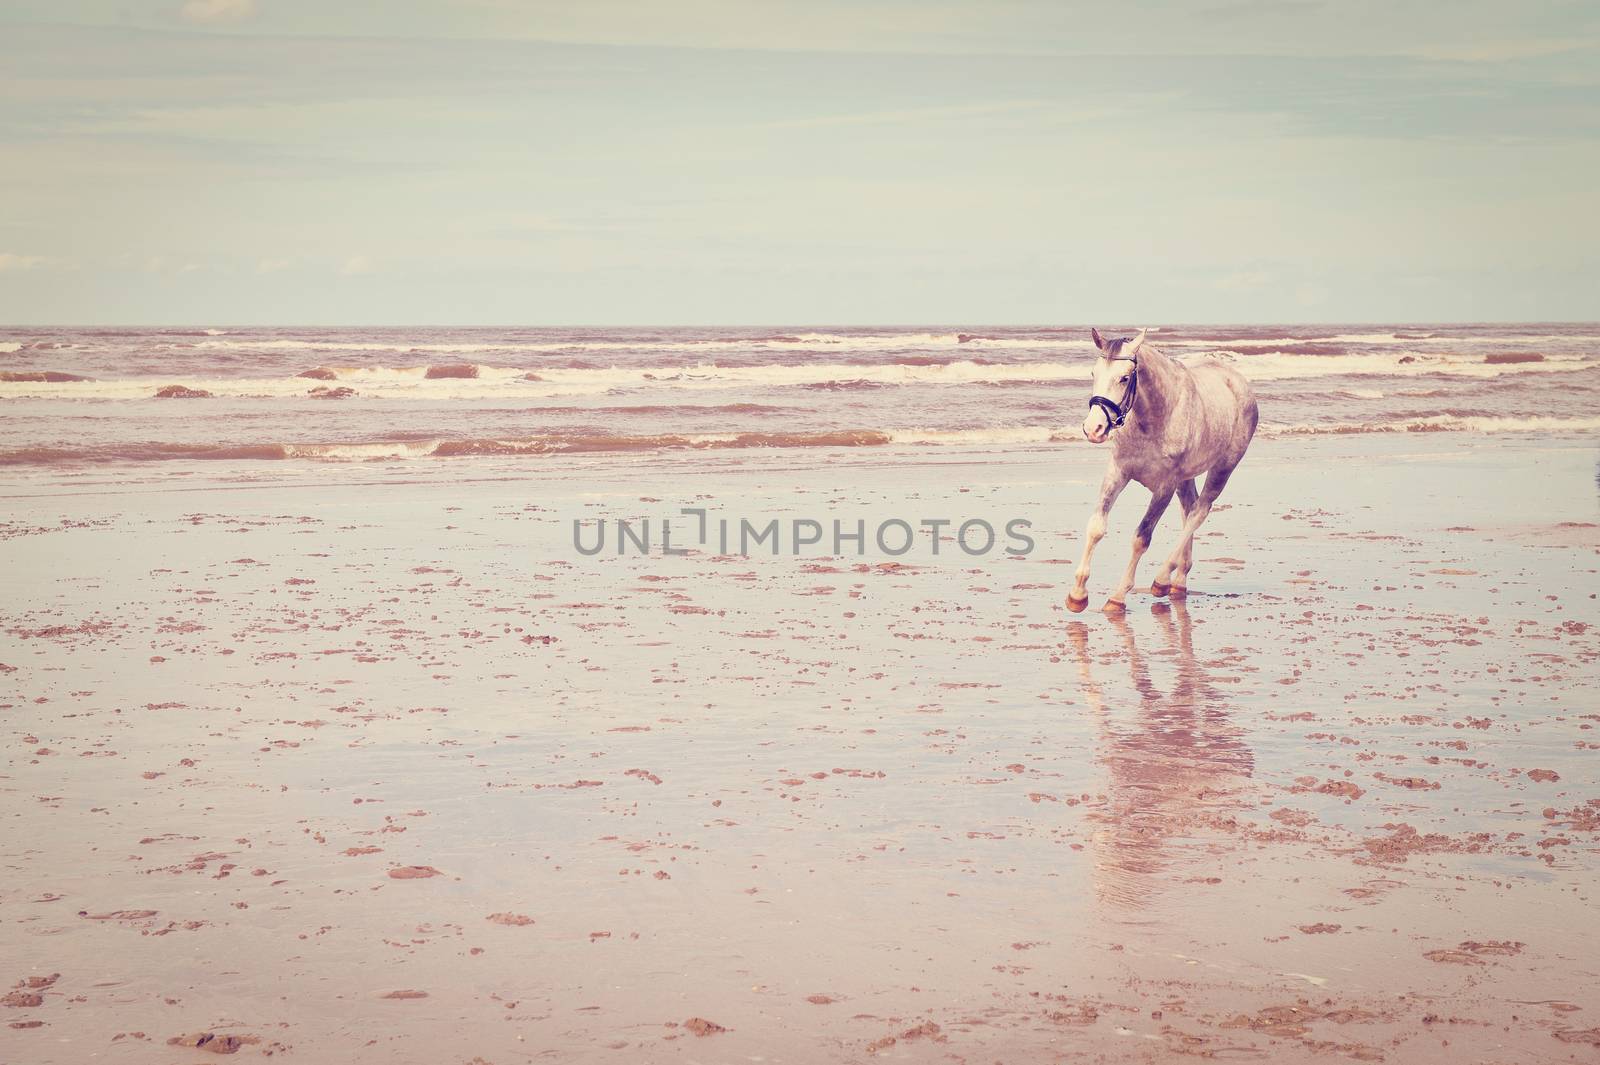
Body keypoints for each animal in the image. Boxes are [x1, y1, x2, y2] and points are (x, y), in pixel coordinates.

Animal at [1068, 326, 1254, 614]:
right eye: (1093, 373)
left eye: (1124, 378)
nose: (1094, 428)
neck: (1155, 417)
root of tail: (1238, 382)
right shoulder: (1117, 472)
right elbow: (1096, 526)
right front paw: (1077, 595)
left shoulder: (1165, 485)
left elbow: (1141, 537)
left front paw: (1118, 597)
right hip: (1186, 478)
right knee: (1190, 508)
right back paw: (1179, 581)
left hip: (1223, 467)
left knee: (1199, 512)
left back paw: (1163, 579)